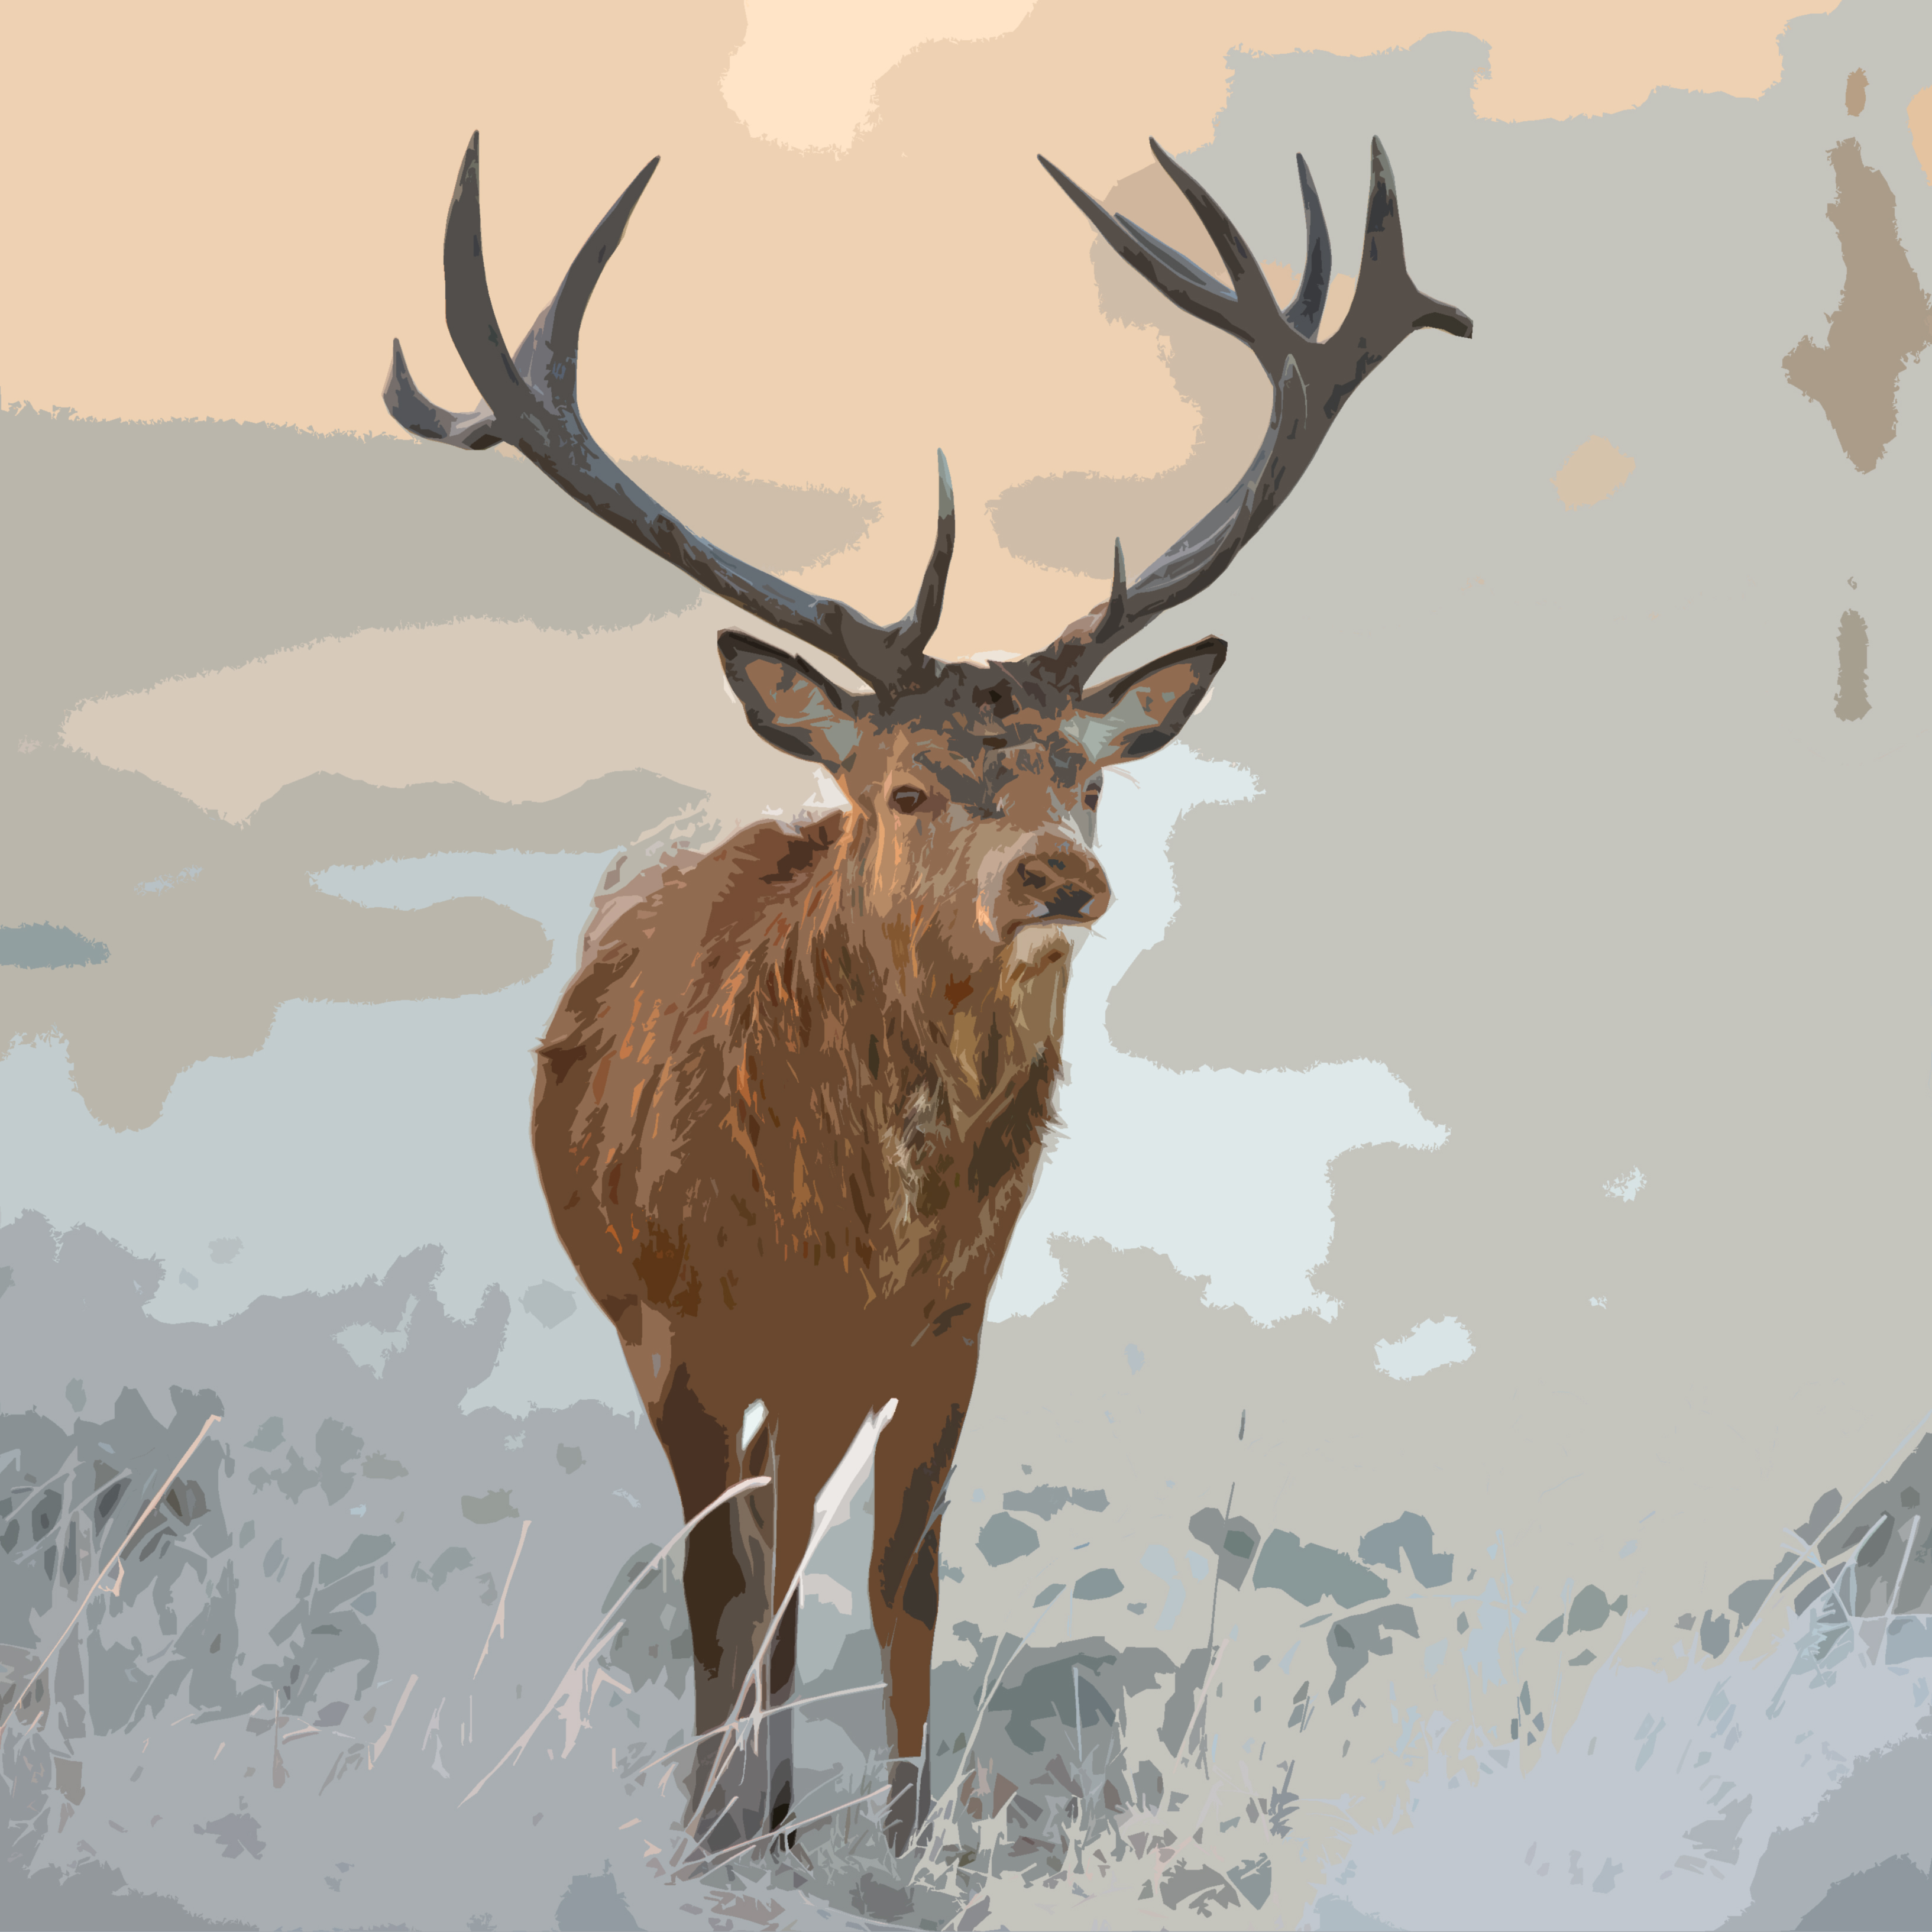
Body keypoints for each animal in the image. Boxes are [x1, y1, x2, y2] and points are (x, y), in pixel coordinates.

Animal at [383, 128, 1469, 1864]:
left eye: (1084, 776)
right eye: (904, 788)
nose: (1056, 878)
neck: (847, 1219)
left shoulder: (953, 1319)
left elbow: (905, 1581)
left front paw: (901, 1837)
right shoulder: (683, 1321)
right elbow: (720, 1581)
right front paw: (722, 1834)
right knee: (745, 1552)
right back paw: (740, 1797)